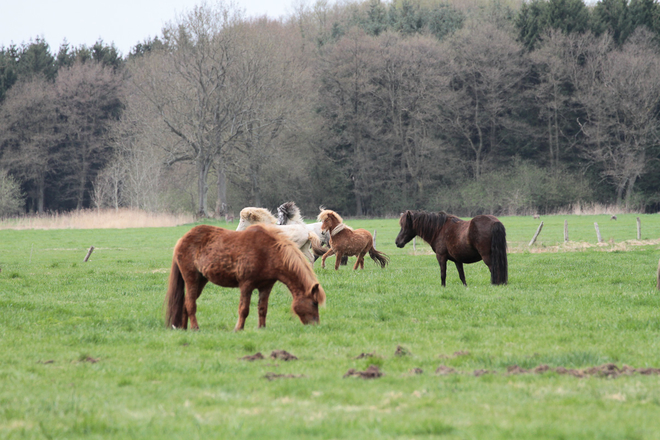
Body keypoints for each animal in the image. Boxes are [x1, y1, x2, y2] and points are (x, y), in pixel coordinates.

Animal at [165, 223, 324, 330]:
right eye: (314, 303)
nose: (316, 325)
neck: (268, 253)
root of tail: (182, 239)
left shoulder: (266, 286)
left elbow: (262, 308)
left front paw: (262, 328)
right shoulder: (246, 285)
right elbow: (244, 309)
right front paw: (239, 328)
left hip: (201, 280)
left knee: (186, 303)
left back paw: (184, 328)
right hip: (191, 278)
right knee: (190, 303)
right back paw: (195, 328)